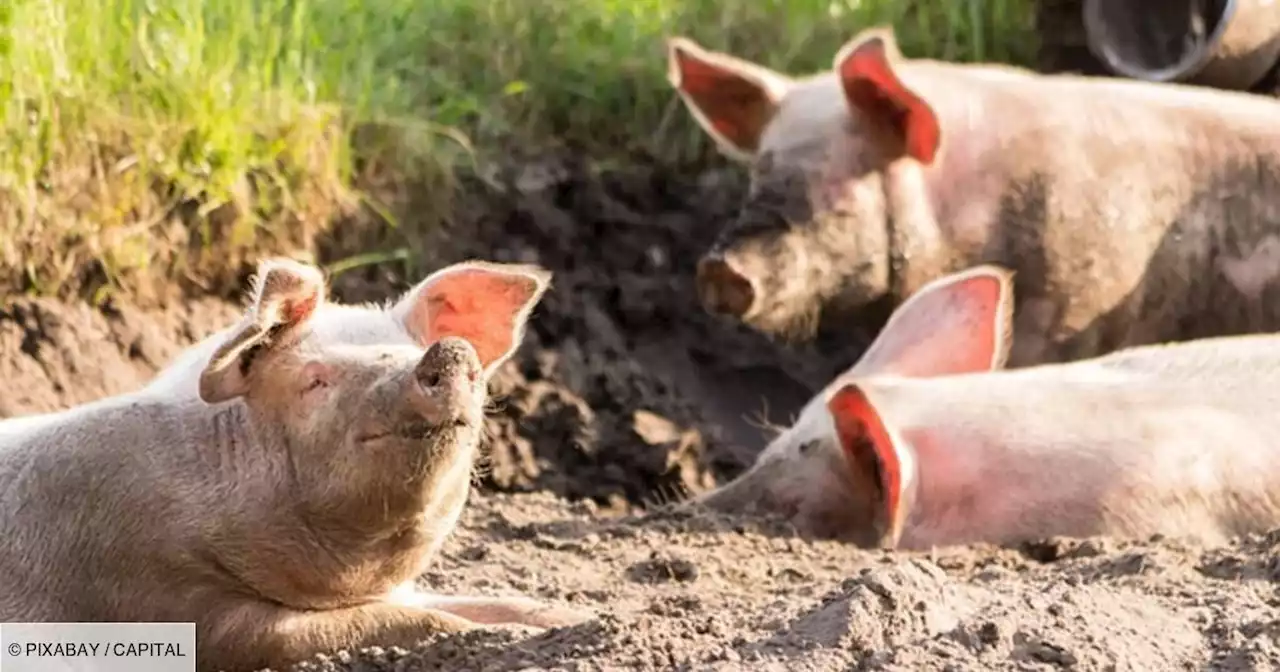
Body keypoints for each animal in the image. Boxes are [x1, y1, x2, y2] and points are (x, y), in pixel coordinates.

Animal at [0, 256, 588, 670]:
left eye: (405, 349)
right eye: (315, 381)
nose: (448, 350)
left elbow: (492, 602)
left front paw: (575, 619)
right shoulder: (173, 604)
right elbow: (397, 622)